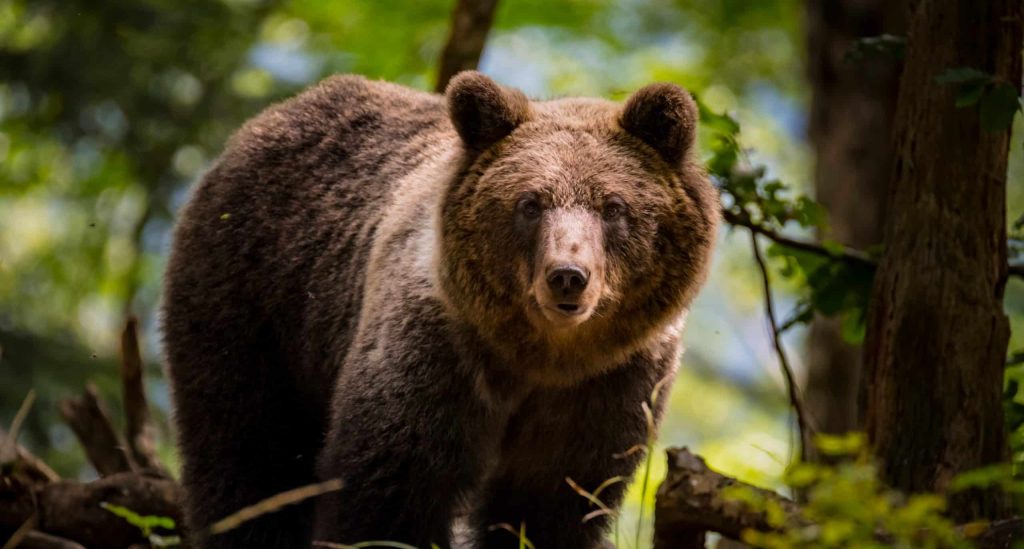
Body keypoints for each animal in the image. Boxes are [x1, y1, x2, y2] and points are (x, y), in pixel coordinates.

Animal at [162, 71, 719, 549]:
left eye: (613, 206)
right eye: (530, 203)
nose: (567, 274)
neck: (540, 357)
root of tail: (267, 119)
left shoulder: (609, 388)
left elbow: (551, 506)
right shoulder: (436, 353)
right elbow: (389, 492)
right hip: (254, 302)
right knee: (246, 454)